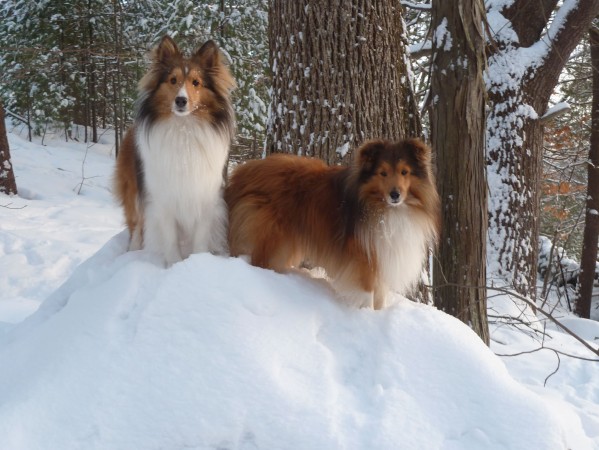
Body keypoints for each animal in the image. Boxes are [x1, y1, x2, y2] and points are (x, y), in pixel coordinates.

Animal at [113, 37, 236, 268]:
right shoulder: (164, 196)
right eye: (172, 80)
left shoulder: (205, 196)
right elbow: (169, 236)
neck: (183, 131)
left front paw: (198, 262)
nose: (181, 101)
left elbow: (201, 237)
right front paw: (173, 265)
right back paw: (132, 251)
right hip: (134, 191)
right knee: (135, 224)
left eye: (196, 82)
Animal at [225, 140, 440, 310]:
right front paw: (367, 316)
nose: (395, 195)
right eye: (383, 173)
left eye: (405, 172)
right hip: (271, 236)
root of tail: (242, 171)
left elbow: (380, 296)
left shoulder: (382, 254)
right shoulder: (363, 258)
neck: (385, 209)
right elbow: (368, 293)